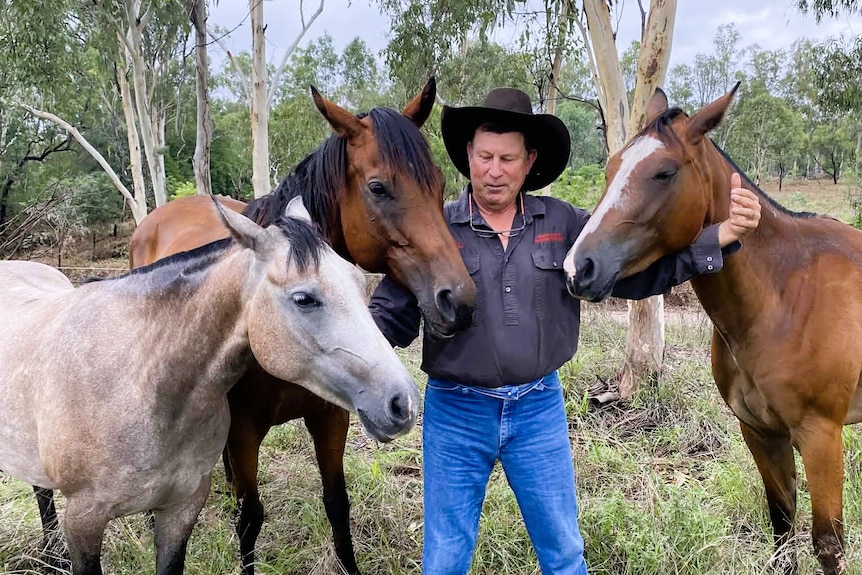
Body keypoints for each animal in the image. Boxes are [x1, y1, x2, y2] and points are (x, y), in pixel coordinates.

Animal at [0, 197, 419, 575]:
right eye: (304, 298)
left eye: (358, 282)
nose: (404, 402)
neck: (139, 381)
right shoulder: (84, 522)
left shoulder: (181, 510)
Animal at [120, 78, 474, 575]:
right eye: (379, 188)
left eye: (440, 183)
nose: (458, 301)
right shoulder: (244, 430)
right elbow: (251, 518)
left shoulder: (331, 417)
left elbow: (337, 503)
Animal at [563, 84, 860, 575]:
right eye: (610, 169)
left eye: (664, 173)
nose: (577, 268)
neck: (786, 296)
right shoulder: (760, 431)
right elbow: (782, 530)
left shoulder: (821, 437)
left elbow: (828, 546)